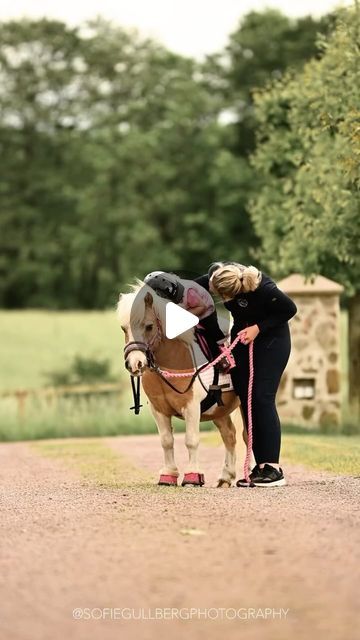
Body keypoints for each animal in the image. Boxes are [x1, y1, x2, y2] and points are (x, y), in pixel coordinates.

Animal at [116, 282, 246, 488]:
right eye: (124, 328)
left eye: (149, 326)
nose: (134, 363)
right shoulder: (159, 410)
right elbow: (166, 441)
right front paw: (168, 475)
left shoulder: (191, 407)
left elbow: (191, 440)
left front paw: (193, 476)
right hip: (219, 410)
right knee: (229, 436)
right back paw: (226, 477)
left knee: (247, 436)